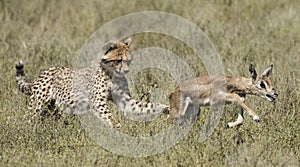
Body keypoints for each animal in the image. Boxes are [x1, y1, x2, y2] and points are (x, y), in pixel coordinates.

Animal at [15, 37, 166, 126]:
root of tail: (43, 71)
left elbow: (144, 106)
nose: (126, 70)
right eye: (118, 60)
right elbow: (110, 118)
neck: (111, 73)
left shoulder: (125, 100)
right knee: (28, 119)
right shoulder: (98, 102)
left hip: (52, 107)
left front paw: (165, 108)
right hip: (37, 105)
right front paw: (118, 129)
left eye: (128, 60)